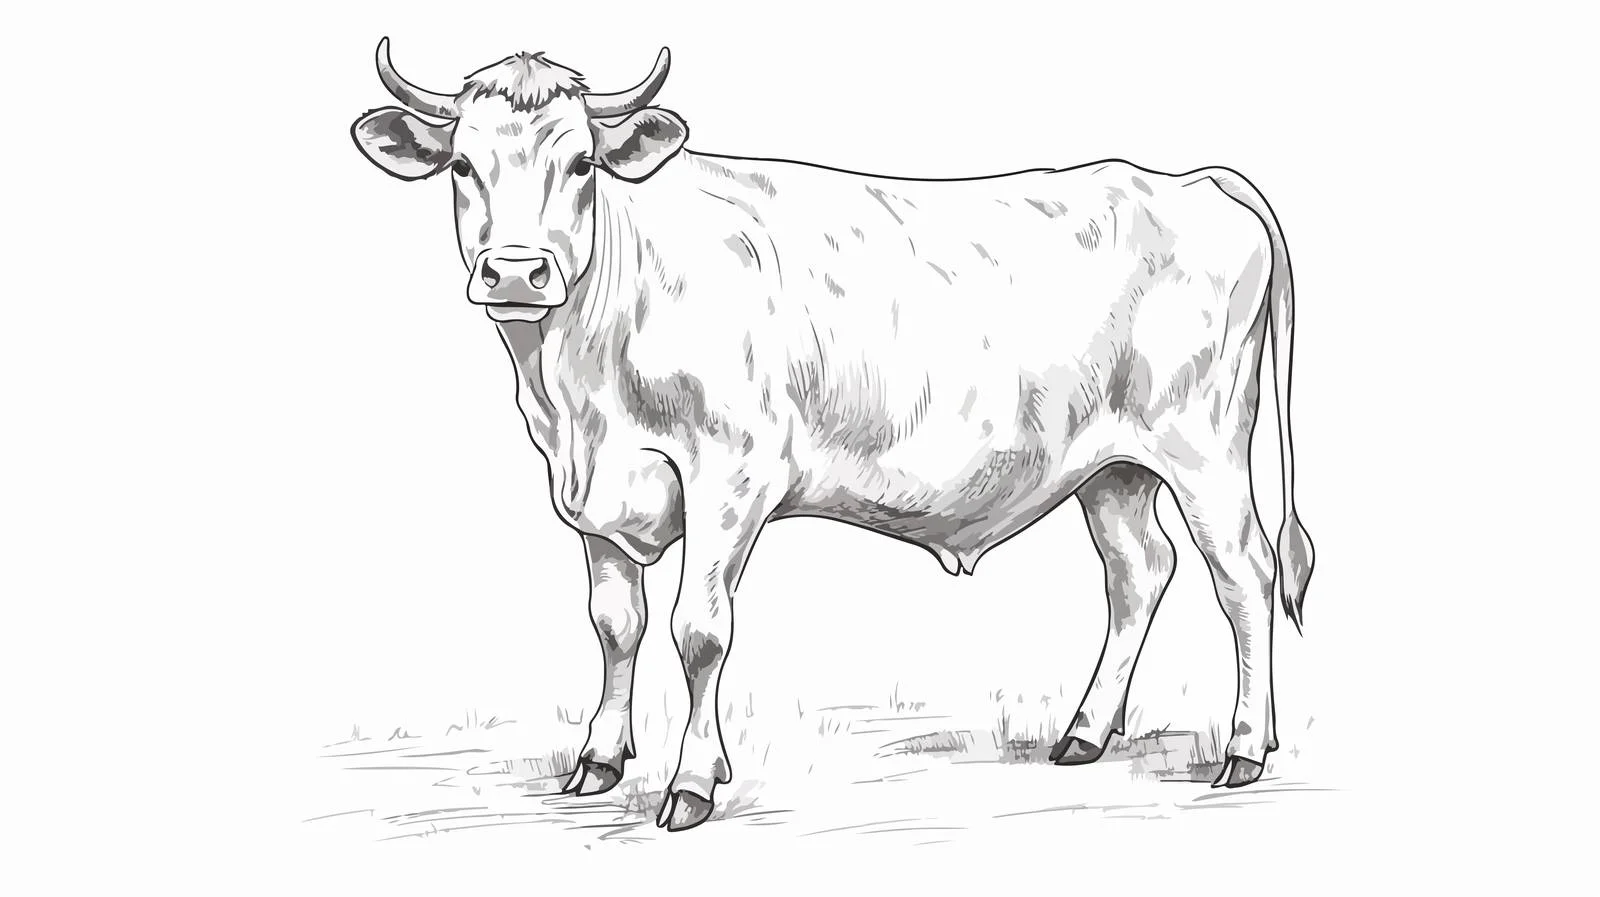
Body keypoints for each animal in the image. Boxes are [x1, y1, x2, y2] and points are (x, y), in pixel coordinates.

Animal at [351, 39, 1315, 831]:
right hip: (1113, 467)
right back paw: (1083, 734)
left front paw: (692, 783)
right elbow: (616, 623)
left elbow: (699, 629)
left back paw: (1242, 749)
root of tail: (1190, 179)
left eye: (582, 161)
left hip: (1205, 448)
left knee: (1245, 575)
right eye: (463, 164)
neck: (579, 386)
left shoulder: (730, 472)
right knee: (1137, 572)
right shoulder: (598, 490)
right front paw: (597, 760)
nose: (517, 272)